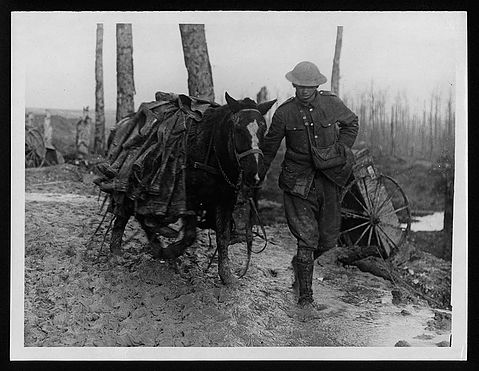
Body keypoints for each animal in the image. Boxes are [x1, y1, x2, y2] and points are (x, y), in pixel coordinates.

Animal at [94, 93, 276, 284]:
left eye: (263, 129)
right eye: (238, 129)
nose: (255, 175)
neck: (209, 148)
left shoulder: (225, 200)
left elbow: (223, 235)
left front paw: (227, 276)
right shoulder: (188, 199)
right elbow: (189, 235)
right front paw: (170, 252)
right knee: (126, 211)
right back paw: (118, 252)